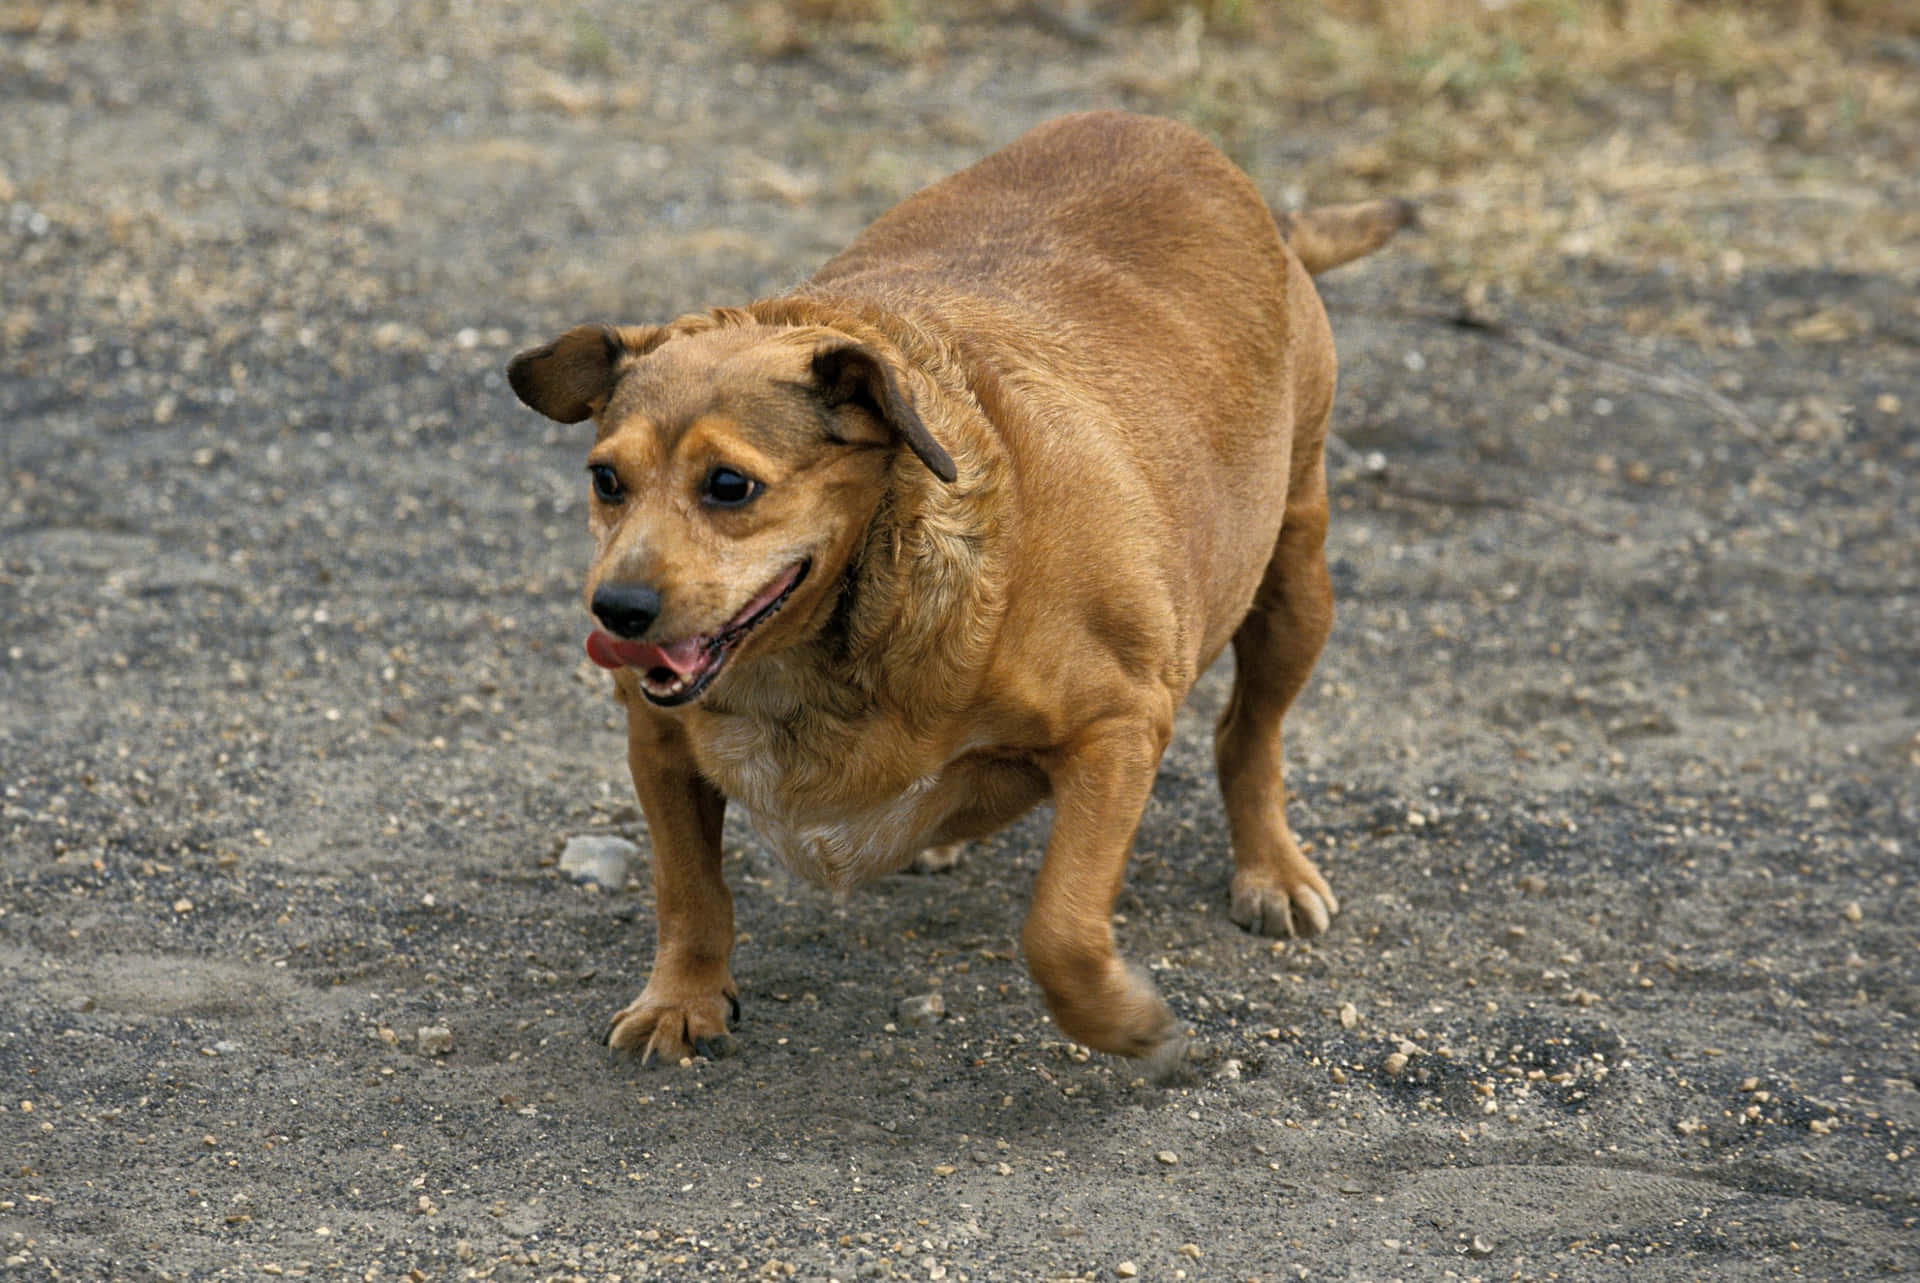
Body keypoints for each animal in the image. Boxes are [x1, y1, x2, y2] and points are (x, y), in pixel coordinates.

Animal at [506, 112, 1413, 1075]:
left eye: (729, 486)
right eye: (606, 479)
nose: (617, 611)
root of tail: (1257, 201)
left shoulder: (1119, 727)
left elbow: (1059, 928)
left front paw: (1127, 1022)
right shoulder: (658, 741)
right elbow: (688, 891)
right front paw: (682, 999)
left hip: (1294, 578)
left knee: (1249, 733)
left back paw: (1270, 868)